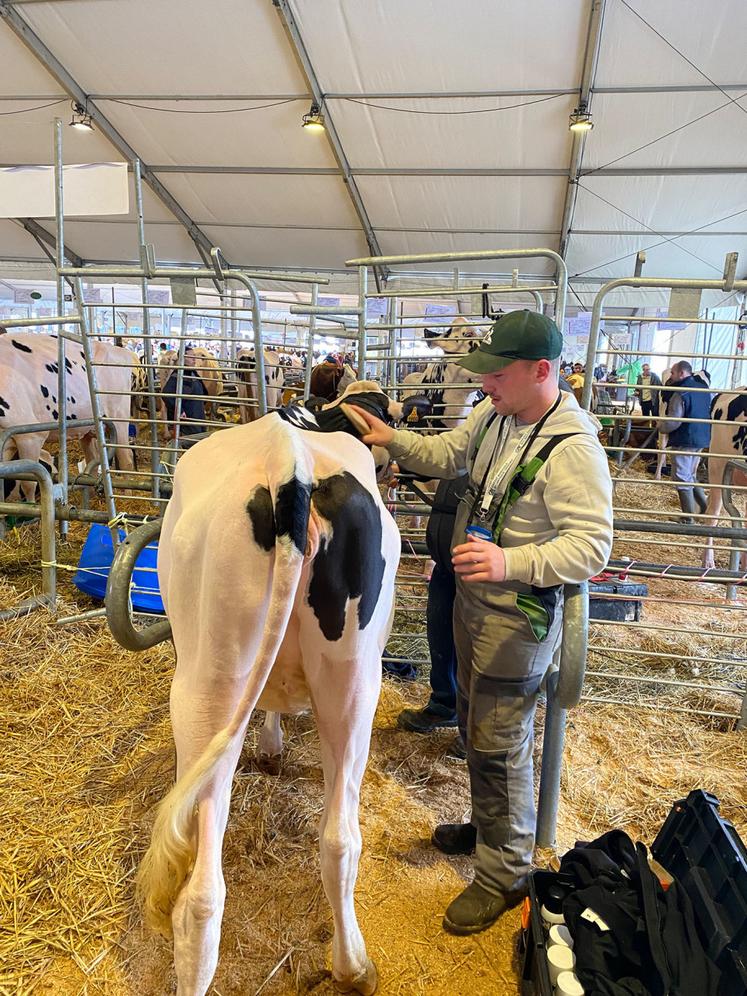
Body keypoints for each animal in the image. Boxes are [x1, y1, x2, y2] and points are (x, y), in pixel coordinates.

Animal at [0, 333, 137, 502]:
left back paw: (127, 497)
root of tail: (120, 350)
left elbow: (29, 483)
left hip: (119, 418)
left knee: (126, 459)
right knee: (92, 459)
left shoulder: (30, 436)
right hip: (88, 428)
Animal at [136, 413, 400, 996]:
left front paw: (271, 745)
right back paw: (352, 967)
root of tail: (290, 459)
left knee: (203, 896)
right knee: (339, 841)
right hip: (352, 683)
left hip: (205, 686)